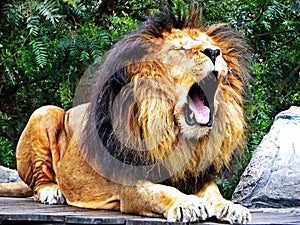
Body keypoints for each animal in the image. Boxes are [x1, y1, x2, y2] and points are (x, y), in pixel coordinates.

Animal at [0, 6, 252, 224]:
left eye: (211, 46)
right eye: (180, 50)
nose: (214, 52)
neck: (174, 133)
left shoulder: (197, 176)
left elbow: (214, 192)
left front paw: (231, 207)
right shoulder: (131, 185)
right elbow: (161, 191)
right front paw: (188, 204)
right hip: (44, 112)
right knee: (38, 182)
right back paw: (51, 191)